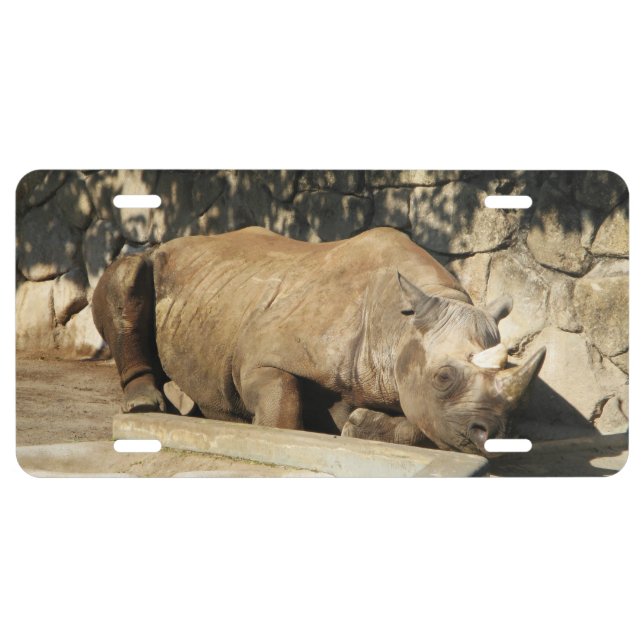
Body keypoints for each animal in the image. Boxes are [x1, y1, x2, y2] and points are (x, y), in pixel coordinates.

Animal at [92, 226, 545, 455]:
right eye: (444, 378)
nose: (495, 434)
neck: (398, 327)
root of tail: (173, 242)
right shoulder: (261, 357)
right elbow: (282, 405)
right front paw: (273, 433)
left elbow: (425, 426)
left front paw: (359, 425)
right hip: (156, 261)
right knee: (128, 272)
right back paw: (146, 406)